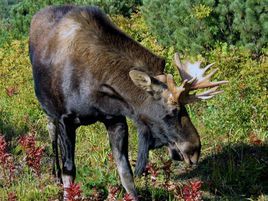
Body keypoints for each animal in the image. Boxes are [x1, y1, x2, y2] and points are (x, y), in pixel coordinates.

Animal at [28, 4, 226, 199]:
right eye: (171, 112)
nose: (195, 149)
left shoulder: (115, 119)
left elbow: (126, 173)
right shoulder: (66, 120)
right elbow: (69, 172)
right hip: (49, 112)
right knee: (52, 135)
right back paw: (55, 174)